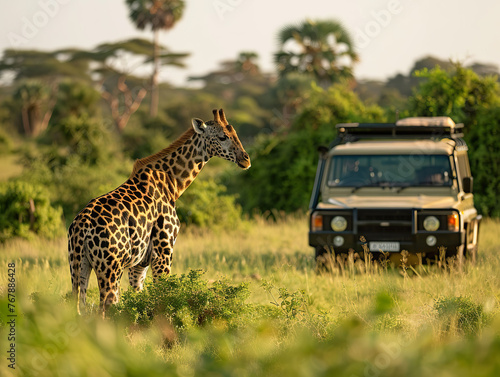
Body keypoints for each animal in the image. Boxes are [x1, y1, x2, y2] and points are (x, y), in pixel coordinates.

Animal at [67, 108, 250, 312]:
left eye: (235, 134)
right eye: (222, 137)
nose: (246, 159)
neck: (173, 183)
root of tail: (82, 227)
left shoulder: (139, 264)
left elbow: (138, 299)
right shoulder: (164, 251)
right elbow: (162, 297)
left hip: (78, 266)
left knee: (79, 307)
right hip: (110, 269)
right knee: (105, 308)